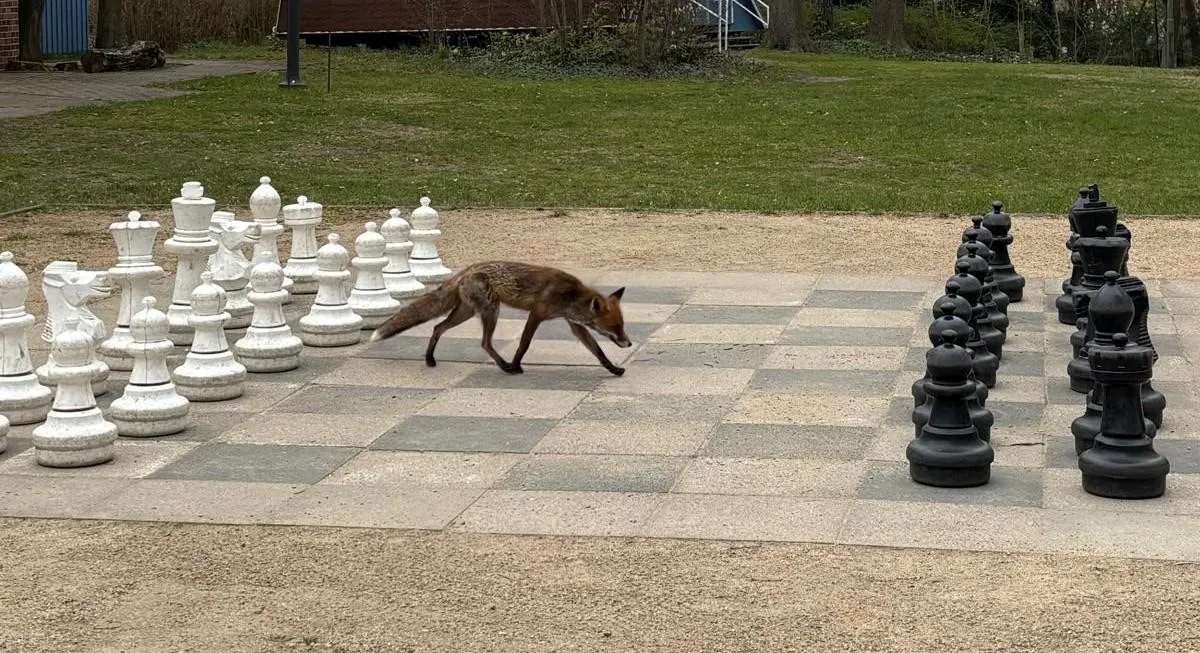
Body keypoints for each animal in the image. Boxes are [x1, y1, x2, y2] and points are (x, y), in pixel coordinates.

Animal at [369, 261, 633, 376]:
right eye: (615, 326)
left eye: (622, 325)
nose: (629, 343)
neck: (571, 296)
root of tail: (465, 270)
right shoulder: (537, 314)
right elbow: (524, 344)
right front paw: (516, 364)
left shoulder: (574, 325)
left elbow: (597, 351)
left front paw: (613, 368)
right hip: (490, 311)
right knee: (484, 342)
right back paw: (506, 367)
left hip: (466, 312)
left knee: (437, 327)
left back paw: (429, 359)